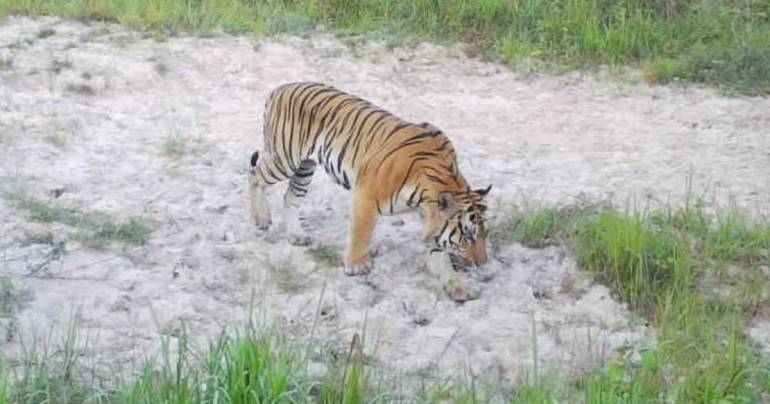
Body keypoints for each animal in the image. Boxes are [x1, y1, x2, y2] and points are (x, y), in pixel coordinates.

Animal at [249, 83, 488, 278]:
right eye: (468, 236)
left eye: (484, 234)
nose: (483, 263)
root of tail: (280, 88)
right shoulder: (366, 195)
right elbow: (360, 234)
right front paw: (355, 265)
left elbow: (438, 251)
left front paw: (457, 286)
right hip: (284, 158)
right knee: (255, 175)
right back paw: (261, 218)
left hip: (305, 167)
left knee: (290, 196)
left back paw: (296, 235)